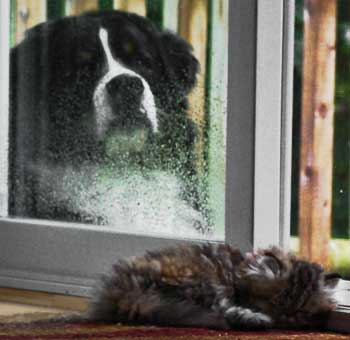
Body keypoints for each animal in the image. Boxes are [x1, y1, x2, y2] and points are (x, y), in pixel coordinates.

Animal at [81, 244, 340, 330]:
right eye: (277, 303)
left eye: (302, 311)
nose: (288, 317)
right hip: (201, 284)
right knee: (223, 312)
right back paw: (255, 321)